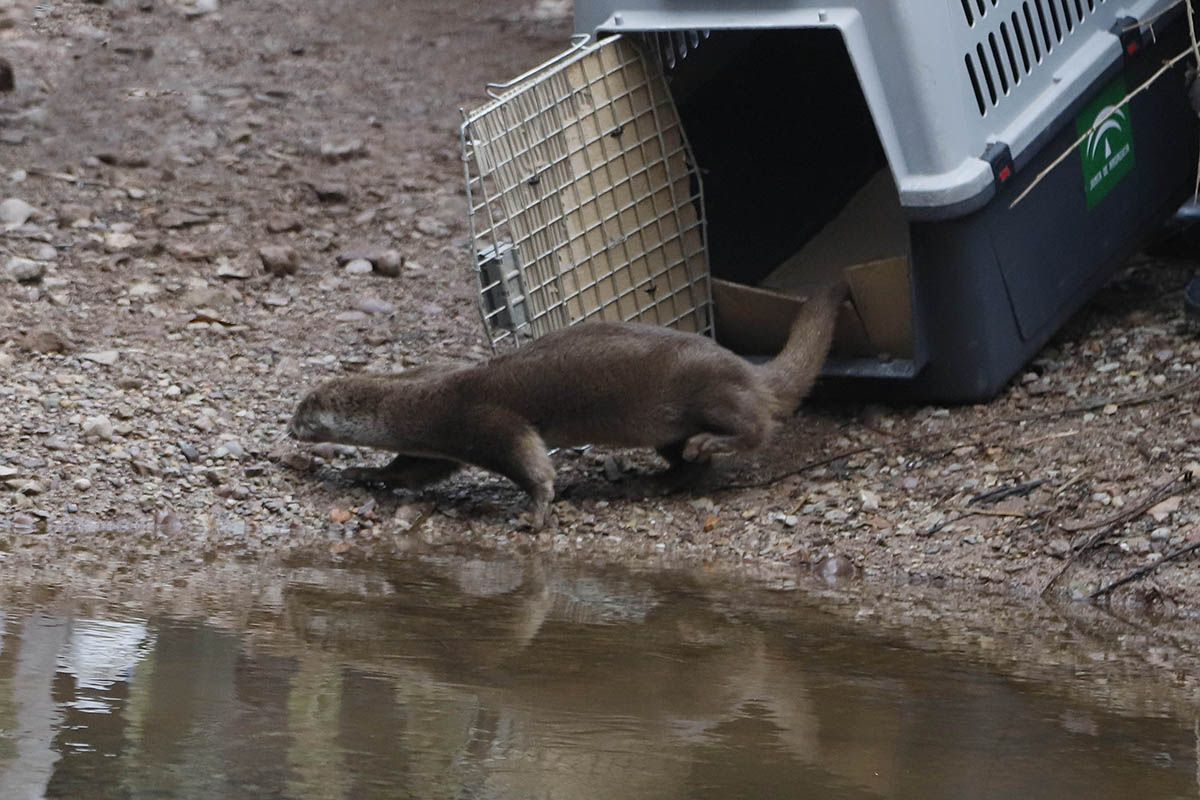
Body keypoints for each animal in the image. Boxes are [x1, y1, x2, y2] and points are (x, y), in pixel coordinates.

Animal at [286, 284, 844, 527]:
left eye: (302, 410)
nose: (288, 430)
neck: (419, 399)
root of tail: (746, 368)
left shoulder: (481, 421)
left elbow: (529, 462)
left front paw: (534, 512)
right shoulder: (439, 443)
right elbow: (411, 471)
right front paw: (363, 474)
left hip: (710, 390)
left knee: (758, 425)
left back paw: (711, 444)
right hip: (668, 428)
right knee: (686, 461)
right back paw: (659, 481)